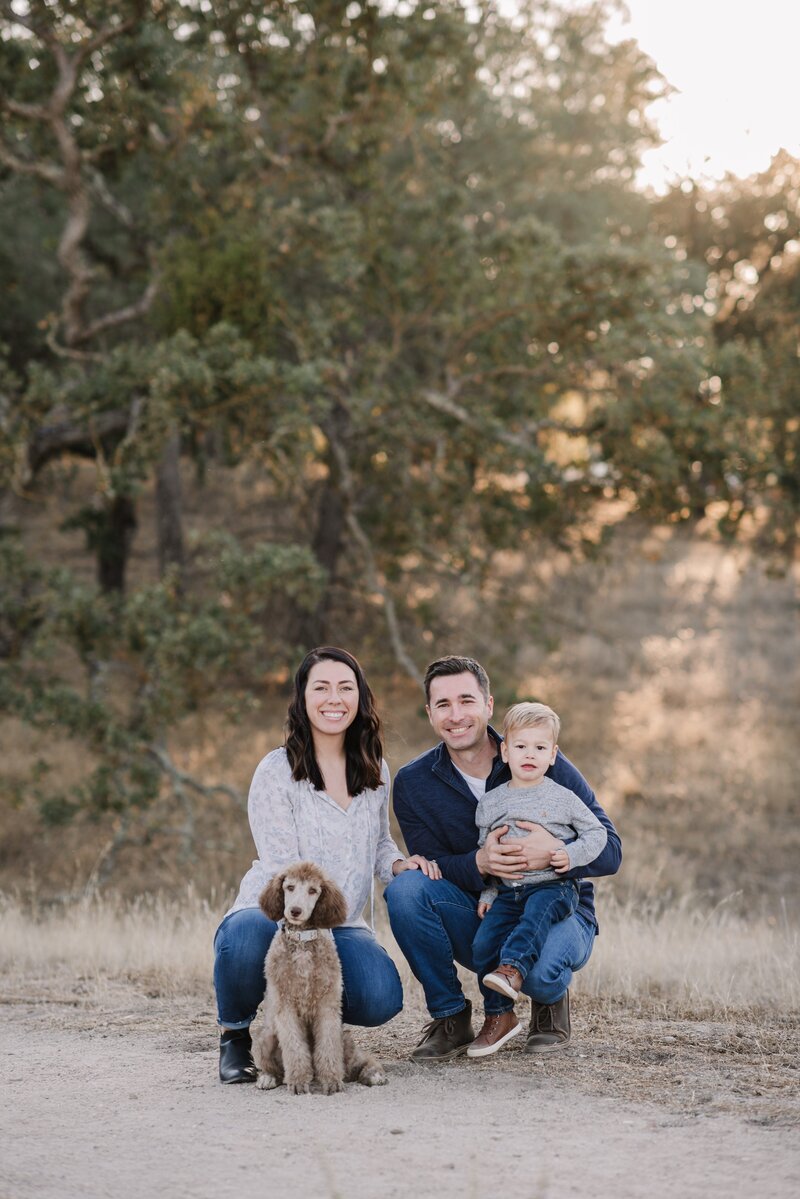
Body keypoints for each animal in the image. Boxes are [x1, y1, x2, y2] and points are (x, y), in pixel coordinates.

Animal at [251, 863, 386, 1098]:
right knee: (273, 1066)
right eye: (289, 887)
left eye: (313, 890)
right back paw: (268, 1078)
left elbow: (328, 1047)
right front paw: (297, 1082)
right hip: (265, 1037)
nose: (295, 911)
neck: (302, 941)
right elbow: (294, 1047)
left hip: (343, 1037)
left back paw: (372, 1073)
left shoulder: (328, 1005)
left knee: (357, 1060)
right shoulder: (285, 1006)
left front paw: (331, 1080)